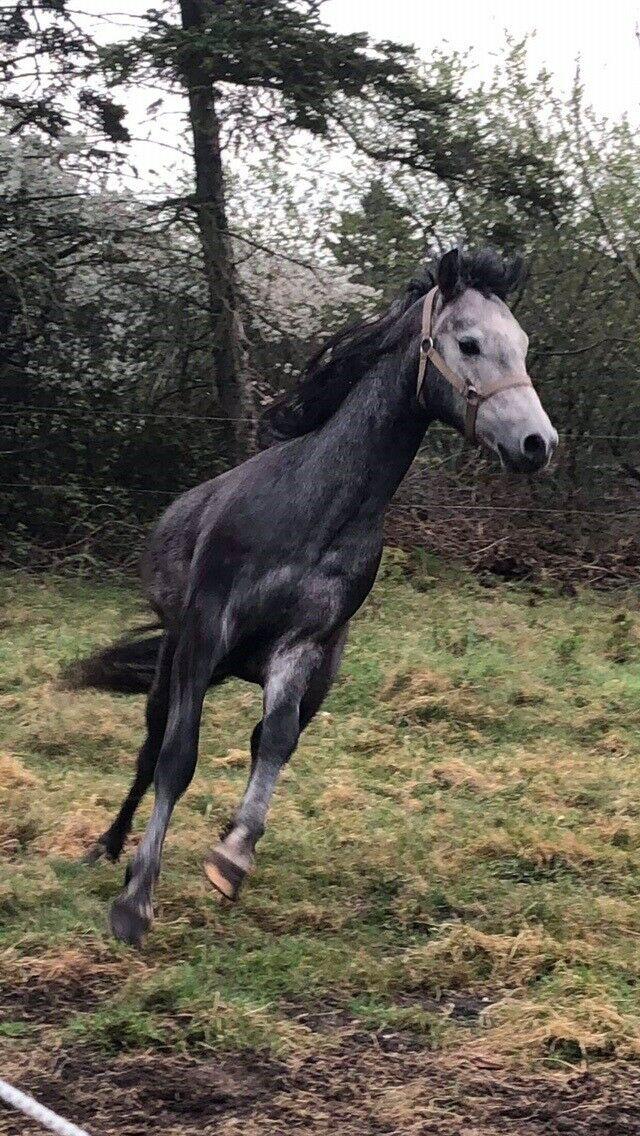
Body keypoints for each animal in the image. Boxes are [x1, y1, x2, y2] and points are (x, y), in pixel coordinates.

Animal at [73, 247, 558, 946]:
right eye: (468, 343)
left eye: (520, 345)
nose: (537, 445)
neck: (315, 506)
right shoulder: (203, 635)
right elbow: (176, 758)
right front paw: (135, 902)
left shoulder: (304, 646)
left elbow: (274, 740)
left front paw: (231, 858)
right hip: (175, 658)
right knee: (150, 747)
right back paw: (108, 847)